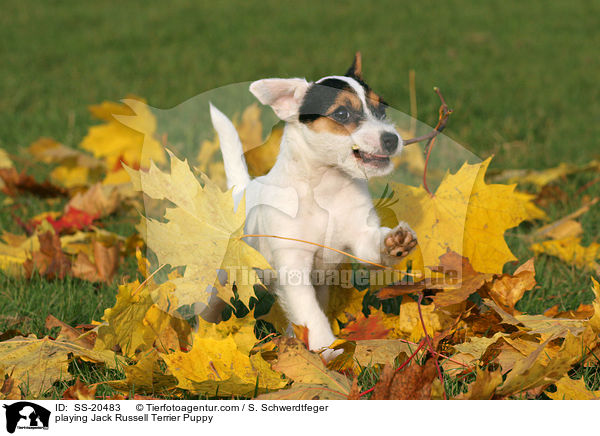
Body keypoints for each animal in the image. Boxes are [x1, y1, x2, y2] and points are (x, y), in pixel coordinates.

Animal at [211, 52, 418, 360]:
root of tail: (241, 190)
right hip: (218, 282)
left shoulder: (360, 238)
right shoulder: (293, 266)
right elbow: (312, 314)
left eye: (382, 107)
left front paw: (395, 241)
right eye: (342, 114)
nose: (392, 139)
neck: (326, 189)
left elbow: (373, 246)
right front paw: (328, 348)